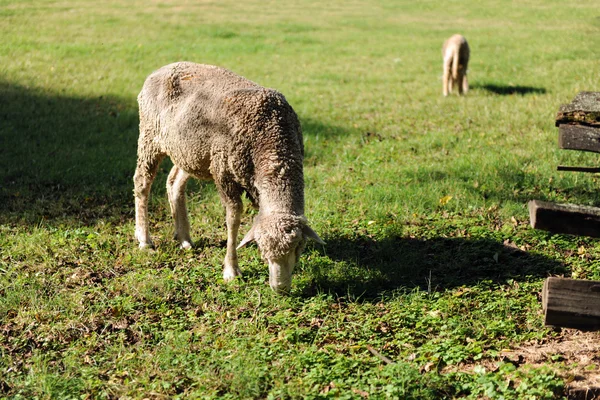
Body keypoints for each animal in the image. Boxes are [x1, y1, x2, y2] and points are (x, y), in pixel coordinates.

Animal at [134, 61, 326, 294]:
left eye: (298, 247)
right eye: (263, 250)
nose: (280, 288)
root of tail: (161, 69)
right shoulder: (223, 171)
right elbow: (233, 217)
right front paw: (231, 270)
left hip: (189, 151)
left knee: (174, 183)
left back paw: (184, 239)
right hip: (150, 137)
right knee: (141, 183)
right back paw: (144, 240)